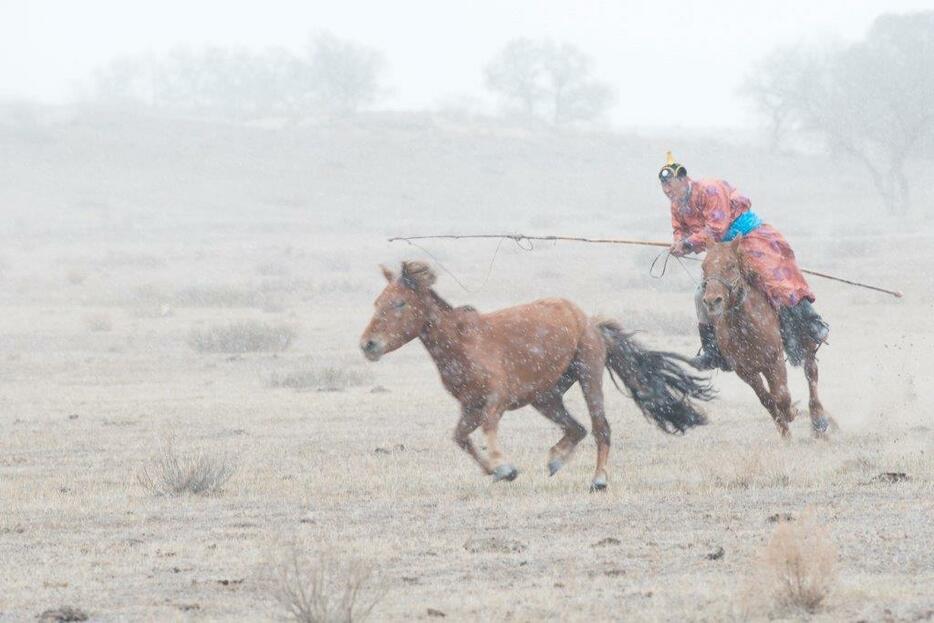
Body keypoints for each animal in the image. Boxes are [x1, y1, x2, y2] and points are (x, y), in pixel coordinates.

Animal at [358, 260, 708, 490]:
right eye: (377, 302)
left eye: (399, 303)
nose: (368, 344)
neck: (463, 342)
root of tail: (590, 321)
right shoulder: (469, 406)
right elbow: (460, 438)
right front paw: (497, 471)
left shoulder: (495, 400)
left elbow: (488, 428)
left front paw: (503, 466)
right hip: (545, 397)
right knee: (576, 428)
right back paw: (555, 460)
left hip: (588, 375)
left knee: (600, 428)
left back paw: (598, 479)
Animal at [704, 239, 832, 438]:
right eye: (703, 267)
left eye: (731, 265)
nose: (711, 301)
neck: (744, 328)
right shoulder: (745, 371)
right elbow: (767, 399)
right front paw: (784, 431)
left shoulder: (774, 360)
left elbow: (782, 396)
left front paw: (792, 412)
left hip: (806, 342)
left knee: (811, 373)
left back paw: (819, 421)